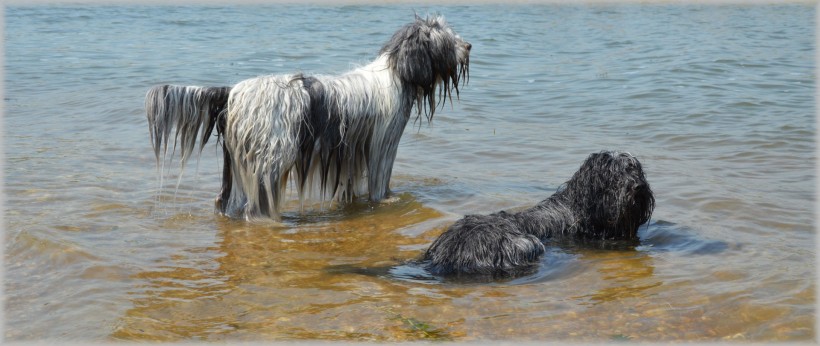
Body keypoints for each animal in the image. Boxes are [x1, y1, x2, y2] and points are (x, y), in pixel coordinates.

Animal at [144, 14, 470, 220]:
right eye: (445, 39)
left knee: (224, 201)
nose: (468, 45)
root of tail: (233, 92)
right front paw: (387, 201)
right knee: (256, 206)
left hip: (235, 162)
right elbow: (380, 186)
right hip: (270, 160)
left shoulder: (353, 153)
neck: (396, 72)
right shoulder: (382, 147)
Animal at [422, 150, 652, 278]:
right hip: (526, 242)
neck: (579, 207)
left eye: (634, 169)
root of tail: (449, 254)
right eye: (614, 175)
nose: (639, 187)